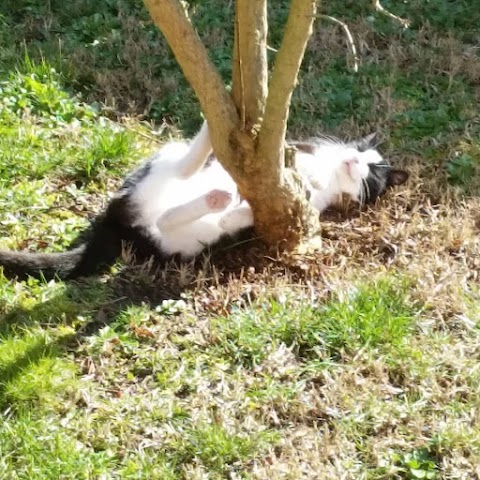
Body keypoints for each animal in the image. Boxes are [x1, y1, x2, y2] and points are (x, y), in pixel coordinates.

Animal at [0, 123, 406, 282]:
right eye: (360, 151)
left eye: (373, 171)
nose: (354, 161)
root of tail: (117, 223)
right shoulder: (293, 149)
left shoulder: (312, 205)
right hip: (156, 168)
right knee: (180, 169)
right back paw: (211, 141)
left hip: (186, 242)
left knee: (174, 219)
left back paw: (223, 203)